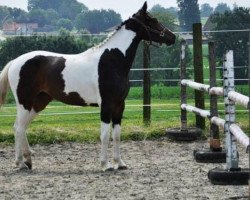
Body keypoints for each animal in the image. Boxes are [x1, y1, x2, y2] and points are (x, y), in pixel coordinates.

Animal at [0, 1, 176, 171]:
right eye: (153, 20)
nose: (172, 37)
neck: (112, 60)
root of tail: (15, 62)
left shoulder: (120, 105)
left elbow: (117, 135)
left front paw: (120, 163)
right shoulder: (106, 104)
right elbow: (104, 135)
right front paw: (105, 165)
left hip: (39, 103)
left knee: (22, 128)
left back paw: (28, 161)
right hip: (25, 102)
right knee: (18, 128)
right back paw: (20, 163)